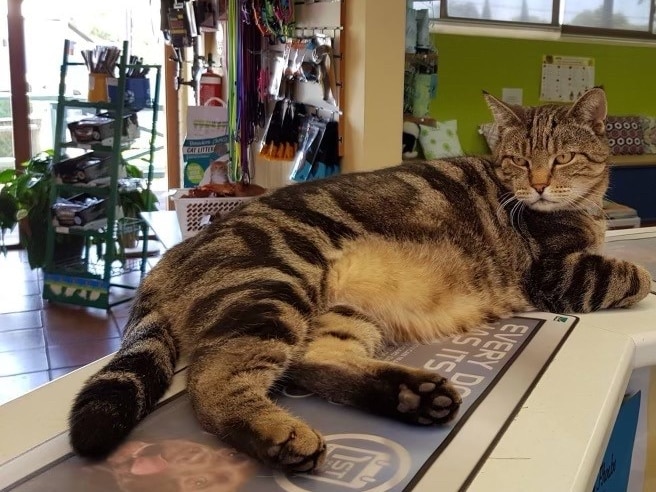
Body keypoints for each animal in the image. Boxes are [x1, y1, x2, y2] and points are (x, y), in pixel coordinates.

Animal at [68, 88, 652, 472]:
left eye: (562, 157)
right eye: (516, 160)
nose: (538, 185)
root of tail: (173, 254)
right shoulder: (558, 273)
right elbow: (631, 273)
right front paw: (641, 275)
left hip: (340, 310)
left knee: (312, 362)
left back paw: (413, 396)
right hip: (272, 285)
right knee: (214, 385)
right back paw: (280, 435)